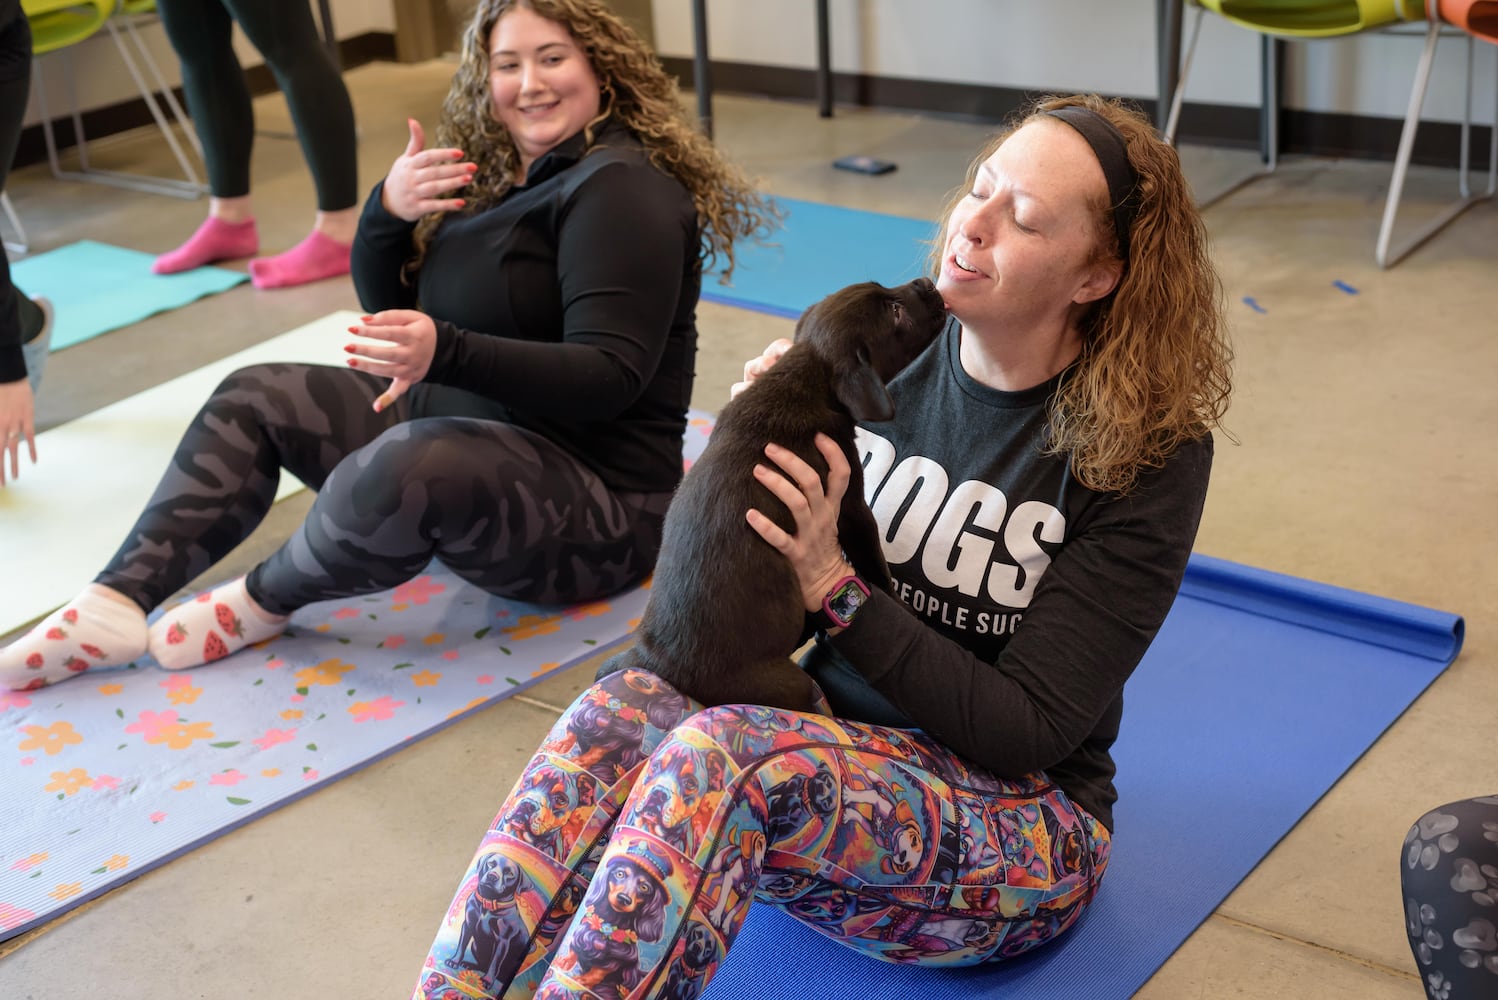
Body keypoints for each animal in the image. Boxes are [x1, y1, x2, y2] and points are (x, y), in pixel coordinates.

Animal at [599, 275, 940, 709]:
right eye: (895, 313)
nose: (928, 283)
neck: (809, 374)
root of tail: (658, 663)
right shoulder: (851, 509)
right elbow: (875, 563)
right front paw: (900, 608)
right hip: (790, 684)